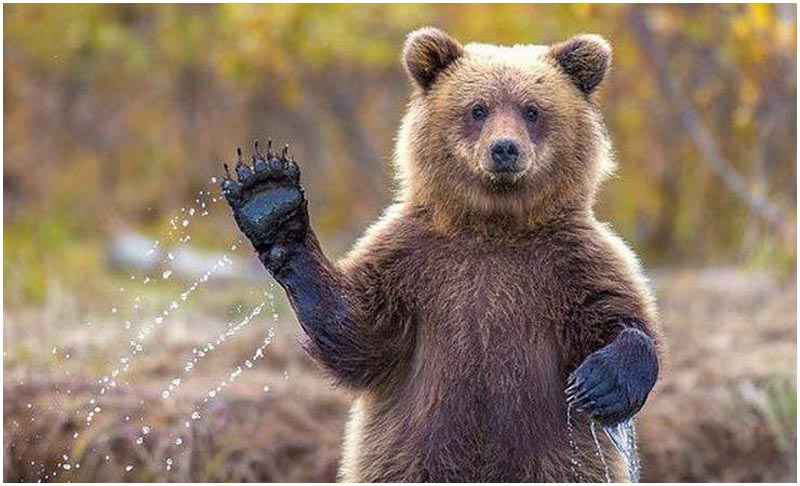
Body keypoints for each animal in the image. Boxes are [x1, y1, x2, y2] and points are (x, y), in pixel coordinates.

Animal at [221, 27, 661, 482]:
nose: (505, 149)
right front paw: (269, 198)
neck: (493, 226)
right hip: (410, 458)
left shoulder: (572, 261)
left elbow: (618, 315)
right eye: (478, 109)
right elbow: (358, 331)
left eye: (532, 110)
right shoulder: (411, 260)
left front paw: (601, 383)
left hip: (556, 460)